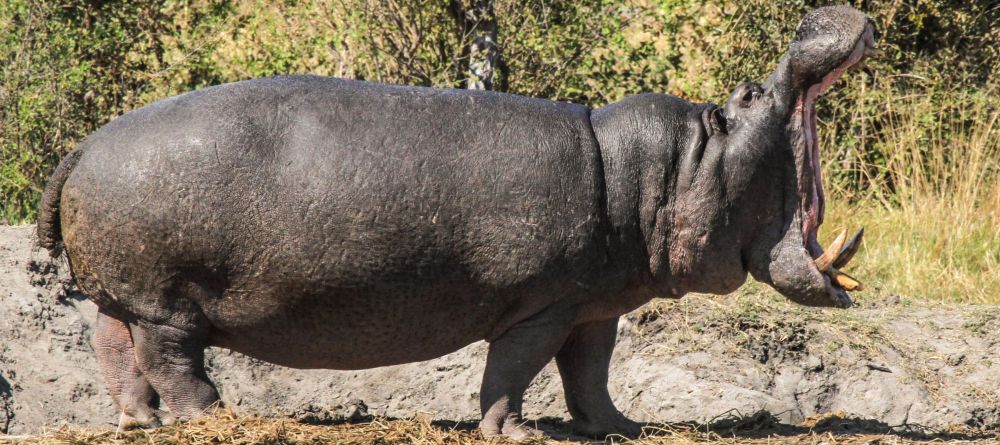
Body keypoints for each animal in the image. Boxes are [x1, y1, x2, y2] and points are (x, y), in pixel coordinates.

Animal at [36, 5, 876, 439]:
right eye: (745, 95)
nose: (826, 14)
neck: (669, 170)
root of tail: (82, 146)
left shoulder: (594, 304)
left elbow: (591, 371)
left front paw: (620, 427)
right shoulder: (542, 304)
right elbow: (513, 369)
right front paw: (516, 432)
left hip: (125, 293)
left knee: (114, 347)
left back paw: (139, 420)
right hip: (168, 297)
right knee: (171, 357)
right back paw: (218, 414)